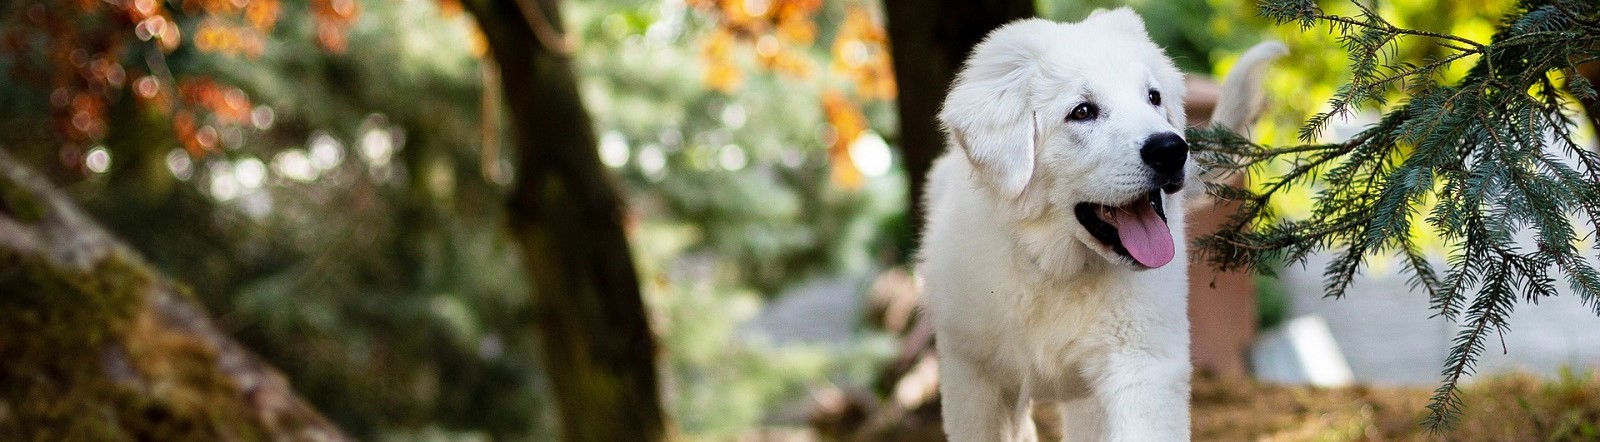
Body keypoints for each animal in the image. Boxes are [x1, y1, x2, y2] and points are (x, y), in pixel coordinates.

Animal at [921, 7, 1280, 442]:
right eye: (1083, 111)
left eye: (1153, 97)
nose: (1172, 150)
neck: (1055, 269)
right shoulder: (971, 376)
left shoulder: (1143, 364)